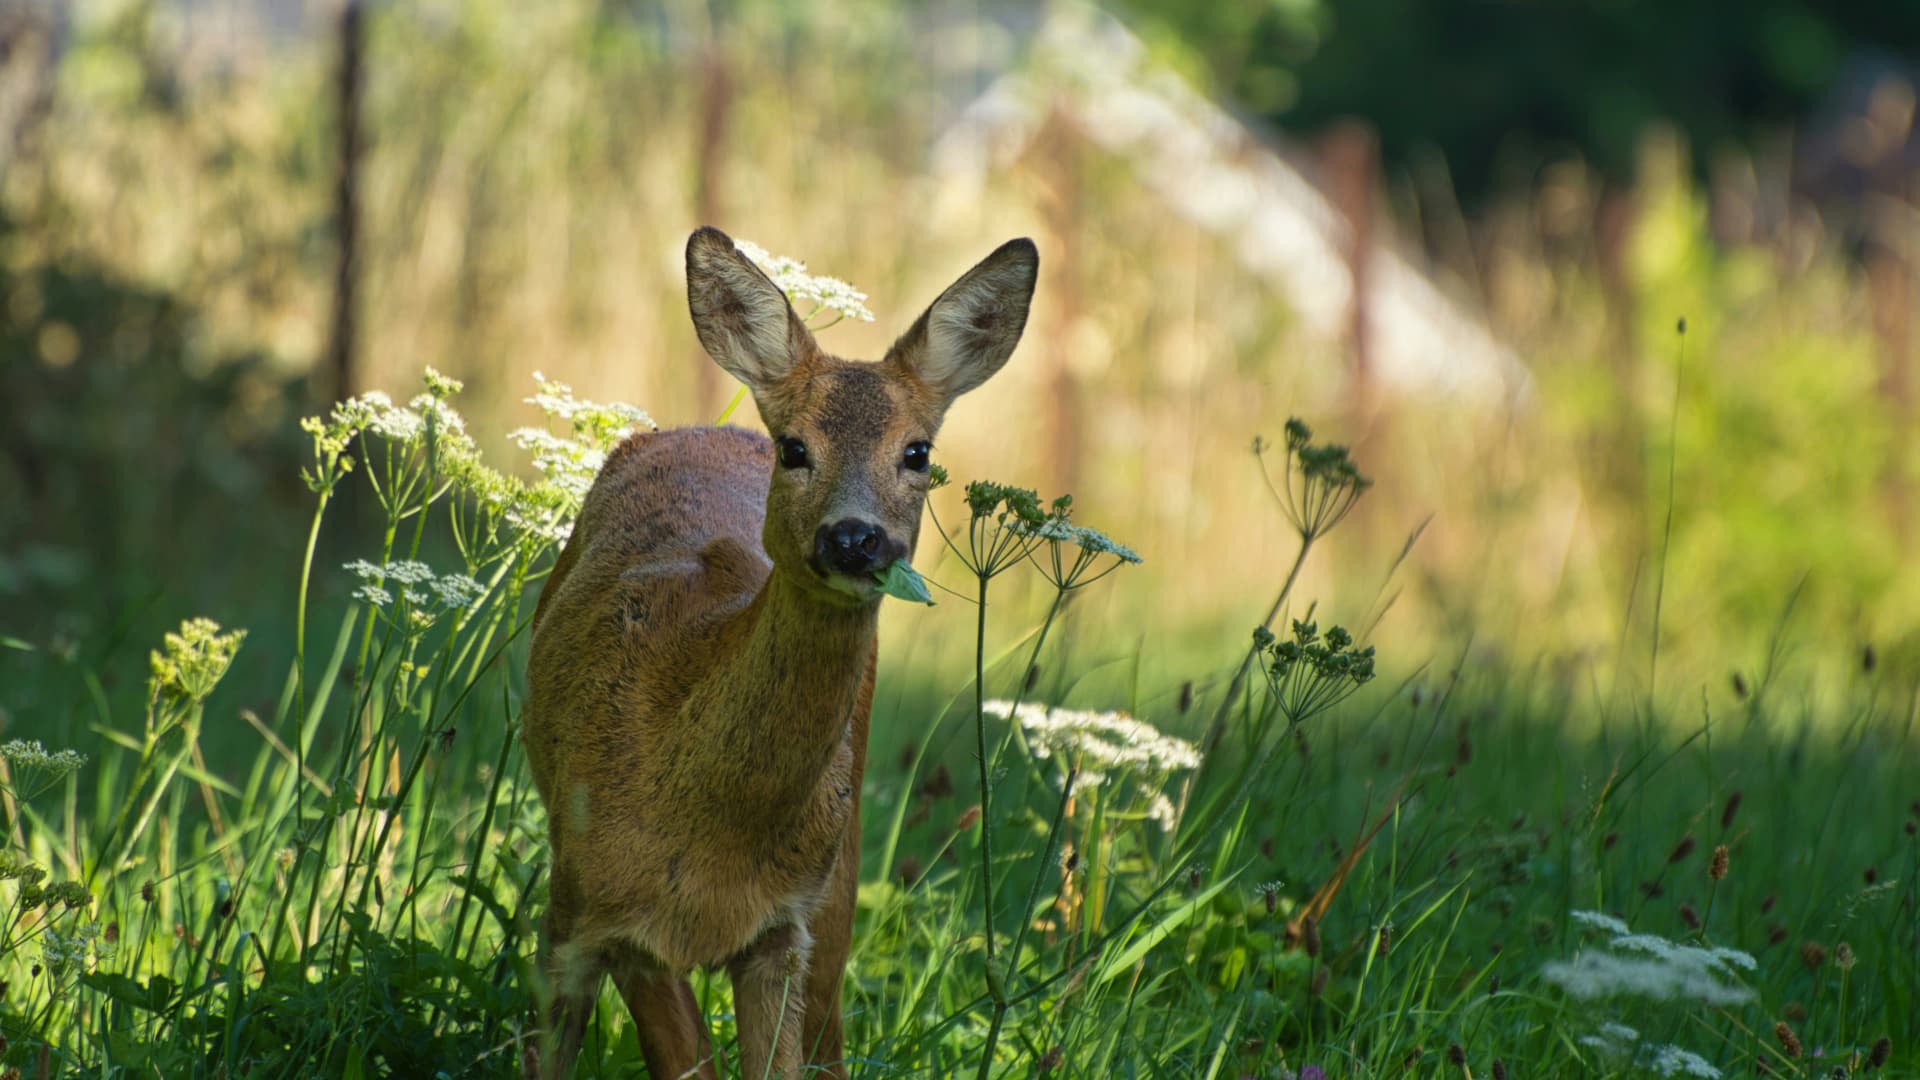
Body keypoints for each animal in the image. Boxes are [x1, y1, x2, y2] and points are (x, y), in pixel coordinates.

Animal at [520, 226, 1039, 1079]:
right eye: (794, 447)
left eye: (918, 452)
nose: (855, 538)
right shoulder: (591, 905)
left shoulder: (779, 929)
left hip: (839, 862)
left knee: (831, 1030)